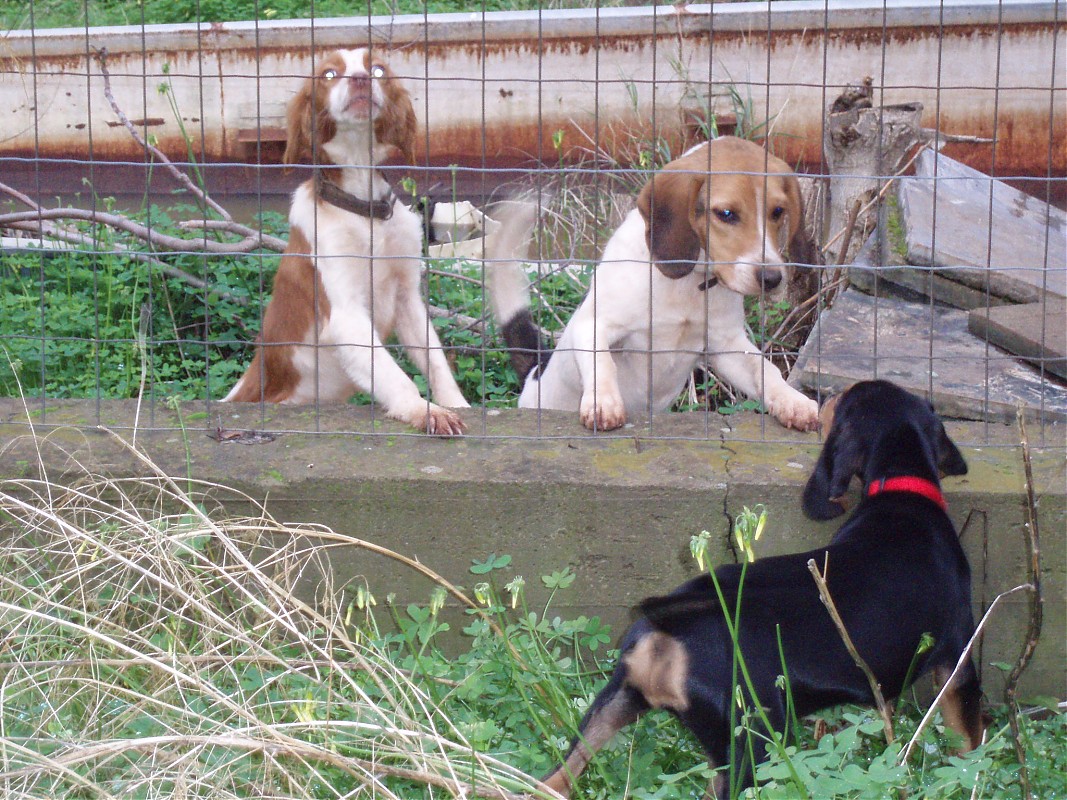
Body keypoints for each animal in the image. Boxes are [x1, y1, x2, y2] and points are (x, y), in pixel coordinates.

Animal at [224, 48, 468, 436]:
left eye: (378, 69)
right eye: (328, 73)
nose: (360, 78)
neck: (364, 212)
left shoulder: (407, 298)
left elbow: (435, 361)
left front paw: (454, 402)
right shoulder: (346, 313)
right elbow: (395, 375)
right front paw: (424, 410)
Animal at [488, 136, 820, 432]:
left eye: (777, 212)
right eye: (726, 214)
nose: (772, 279)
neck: (690, 281)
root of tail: (536, 369)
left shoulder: (726, 345)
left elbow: (766, 369)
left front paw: (792, 401)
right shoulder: (593, 324)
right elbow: (601, 362)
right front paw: (603, 402)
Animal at [540, 380, 983, 798]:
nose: (823, 397)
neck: (903, 490)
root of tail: (675, 622)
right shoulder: (957, 659)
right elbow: (969, 740)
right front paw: (974, 776)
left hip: (613, 706)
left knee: (554, 780)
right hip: (752, 746)